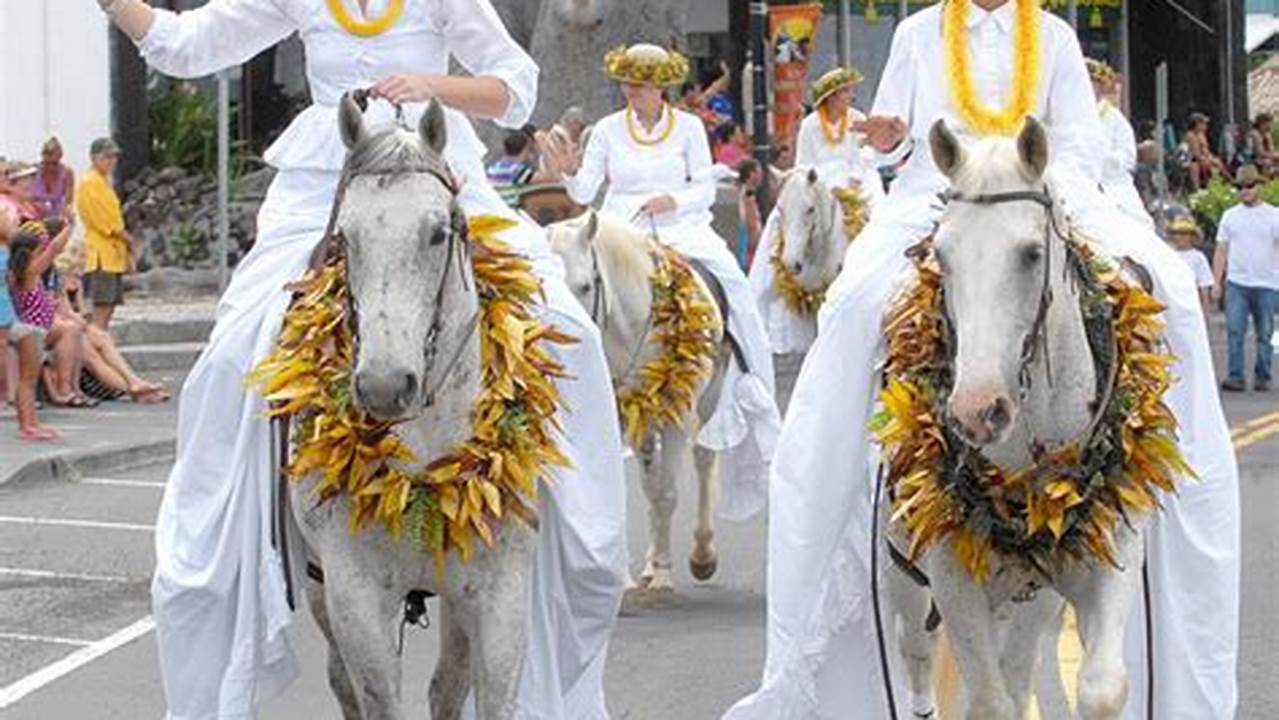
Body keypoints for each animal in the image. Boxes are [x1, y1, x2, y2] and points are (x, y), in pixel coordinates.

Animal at [292, 97, 534, 720]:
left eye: (437, 232)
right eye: (344, 238)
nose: (383, 385)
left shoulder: (498, 594)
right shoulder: (355, 598)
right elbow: (377, 697)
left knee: (448, 684)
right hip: (319, 587)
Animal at [547, 213, 731, 598]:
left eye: (585, 286)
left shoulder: (678, 417)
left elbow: (668, 493)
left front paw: (663, 573)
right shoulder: (620, 417)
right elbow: (638, 491)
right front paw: (627, 577)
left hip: (708, 401)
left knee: (703, 460)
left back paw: (701, 554)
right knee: (652, 481)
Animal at [885, 118, 1156, 720]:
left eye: (1031, 254)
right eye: (943, 255)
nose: (977, 410)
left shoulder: (1109, 554)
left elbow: (1101, 687)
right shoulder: (953, 579)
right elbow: (989, 702)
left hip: (1034, 593)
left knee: (1018, 663)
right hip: (909, 578)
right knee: (918, 651)